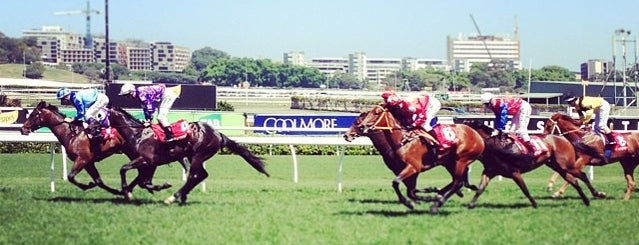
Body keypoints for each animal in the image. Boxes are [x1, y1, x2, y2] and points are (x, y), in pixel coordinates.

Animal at [20, 101, 175, 195]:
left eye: (33, 114)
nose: (23, 129)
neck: (72, 134)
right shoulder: (89, 162)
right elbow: (98, 181)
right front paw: (115, 191)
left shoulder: (82, 159)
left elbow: (71, 176)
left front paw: (87, 186)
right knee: (142, 173)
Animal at [106, 107, 268, 205]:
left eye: (101, 114)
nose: (98, 131)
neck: (138, 135)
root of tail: (218, 134)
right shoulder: (150, 164)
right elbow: (142, 181)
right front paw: (127, 192)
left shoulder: (147, 160)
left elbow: (124, 169)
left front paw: (127, 192)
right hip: (193, 156)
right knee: (200, 175)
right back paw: (181, 196)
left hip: (198, 155)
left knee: (196, 175)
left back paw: (174, 197)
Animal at [464, 119, 596, 208]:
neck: (497, 146)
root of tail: (564, 138)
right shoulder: (489, 172)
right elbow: (480, 189)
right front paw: (470, 205)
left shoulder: (514, 172)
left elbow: (525, 190)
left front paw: (535, 204)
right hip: (558, 167)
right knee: (574, 181)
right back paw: (586, 200)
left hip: (566, 165)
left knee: (582, 175)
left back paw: (596, 194)